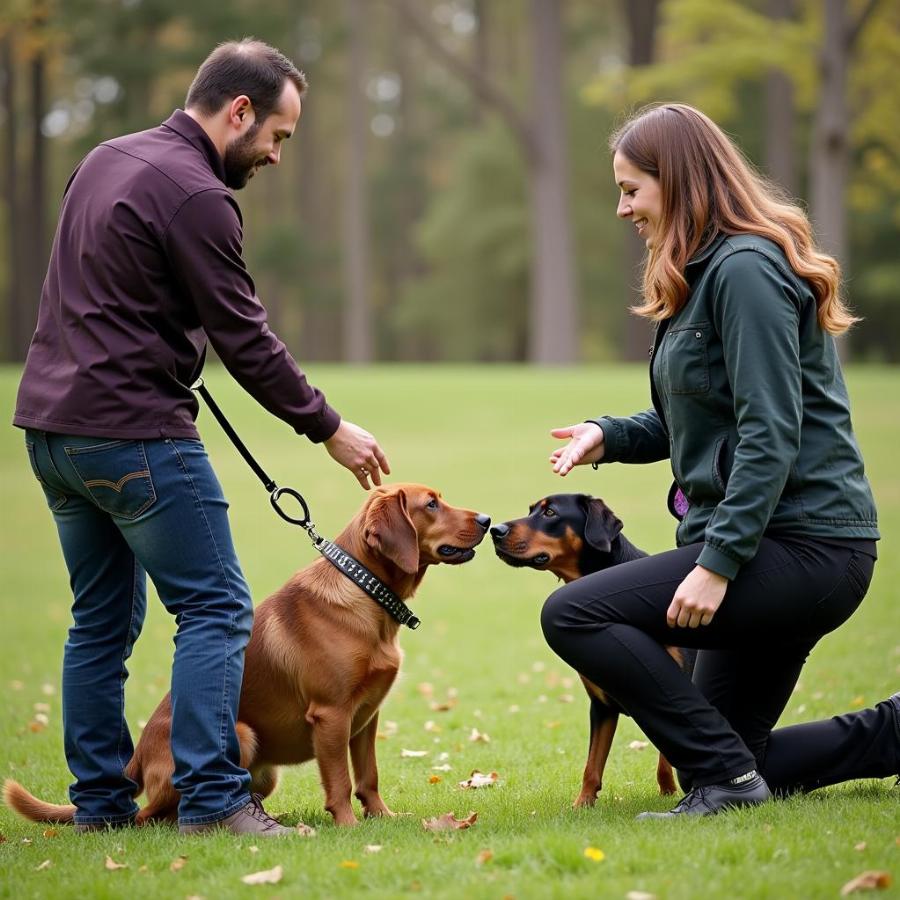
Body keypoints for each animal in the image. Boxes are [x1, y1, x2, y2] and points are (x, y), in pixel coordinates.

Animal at [3, 486, 488, 828]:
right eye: (431, 504)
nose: (486, 519)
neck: (365, 592)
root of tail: (136, 759)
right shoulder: (331, 715)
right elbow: (340, 781)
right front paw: (349, 828)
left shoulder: (366, 718)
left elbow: (368, 777)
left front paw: (383, 819)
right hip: (240, 733)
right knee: (150, 818)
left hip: (264, 771)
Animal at [492, 492, 696, 808]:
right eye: (531, 510)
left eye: (550, 513)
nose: (495, 530)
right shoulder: (601, 705)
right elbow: (592, 763)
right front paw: (582, 804)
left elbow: (667, 755)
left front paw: (668, 793)